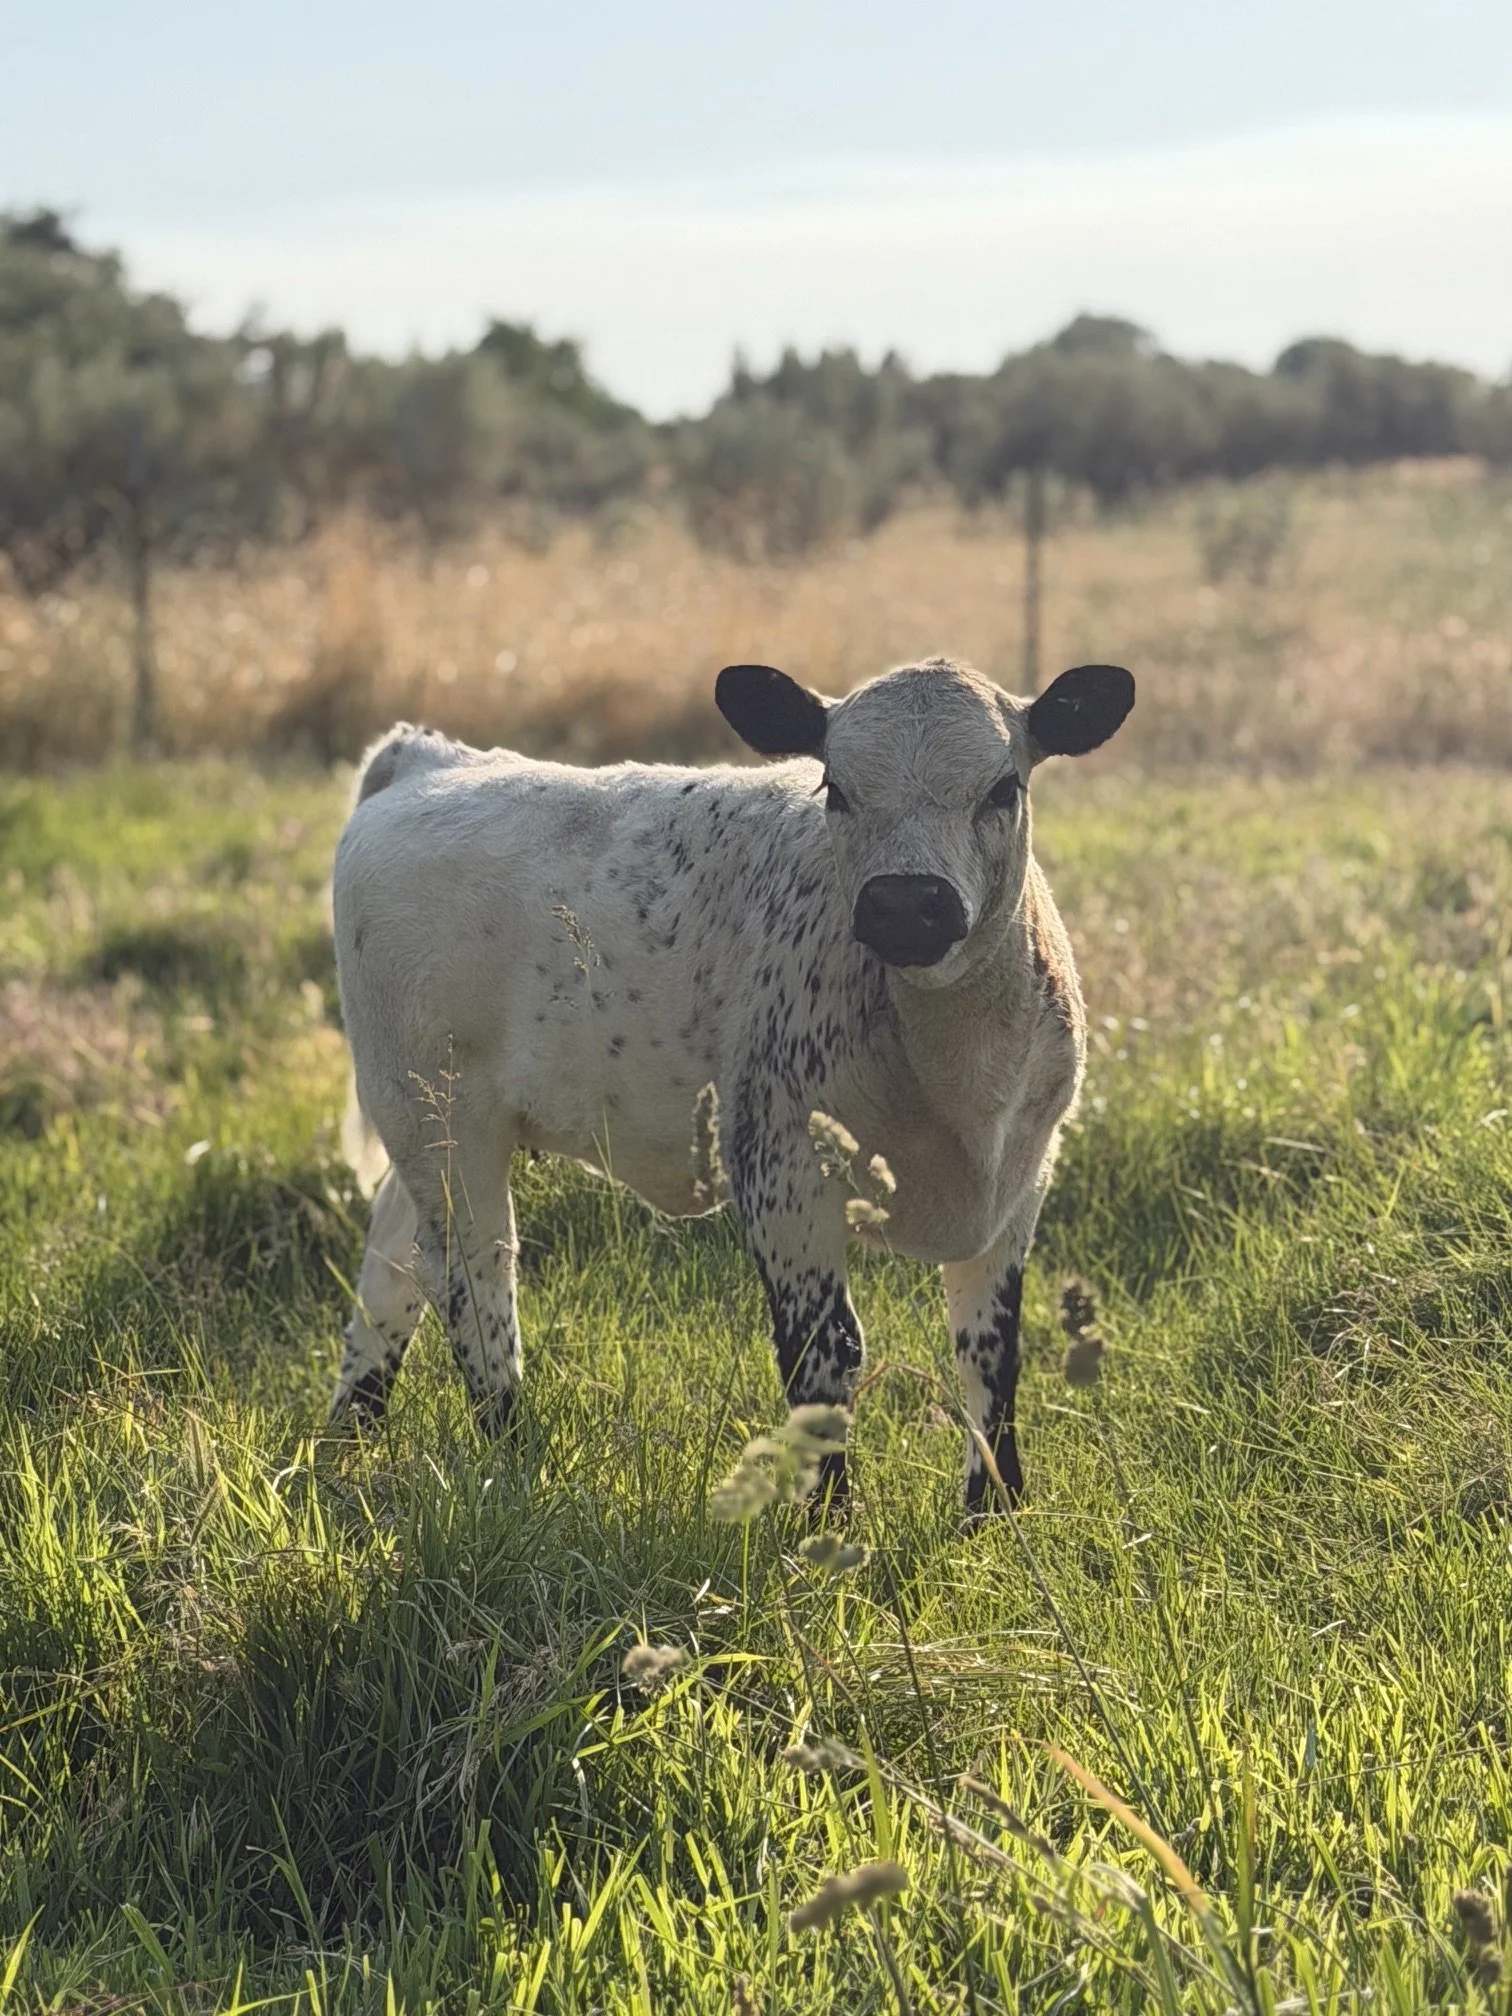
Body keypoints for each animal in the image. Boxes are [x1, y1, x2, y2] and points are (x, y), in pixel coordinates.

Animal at [330, 655, 1133, 1516]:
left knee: (393, 1262)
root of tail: (430, 758)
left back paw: (348, 1435)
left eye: (1003, 787)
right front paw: (829, 1520)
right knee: (474, 1281)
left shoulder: (1024, 1177)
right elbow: (824, 1351)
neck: (956, 1080)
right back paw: (510, 1458)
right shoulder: (779, 1170)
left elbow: (991, 1349)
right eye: (836, 787)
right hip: (439, 1113)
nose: (905, 903)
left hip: (426, 1123)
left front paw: (995, 1512)